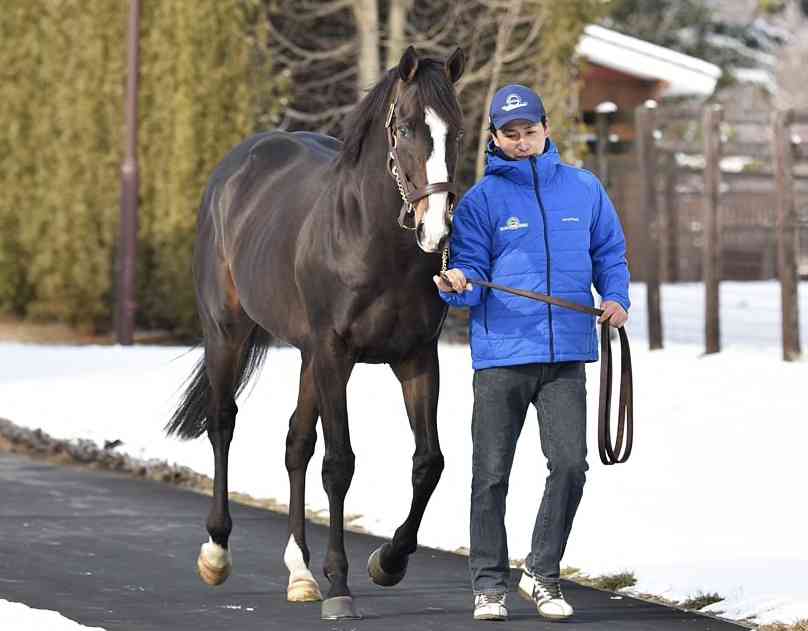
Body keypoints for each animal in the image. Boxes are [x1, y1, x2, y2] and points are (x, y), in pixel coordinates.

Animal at [165, 45, 465, 620]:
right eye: (407, 128)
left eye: (457, 131)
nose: (435, 228)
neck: (371, 242)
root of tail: (240, 162)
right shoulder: (334, 354)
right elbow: (340, 464)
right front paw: (341, 585)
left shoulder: (417, 359)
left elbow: (428, 463)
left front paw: (387, 562)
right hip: (227, 333)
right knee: (223, 423)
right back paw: (217, 552)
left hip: (306, 357)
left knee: (295, 444)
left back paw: (299, 572)